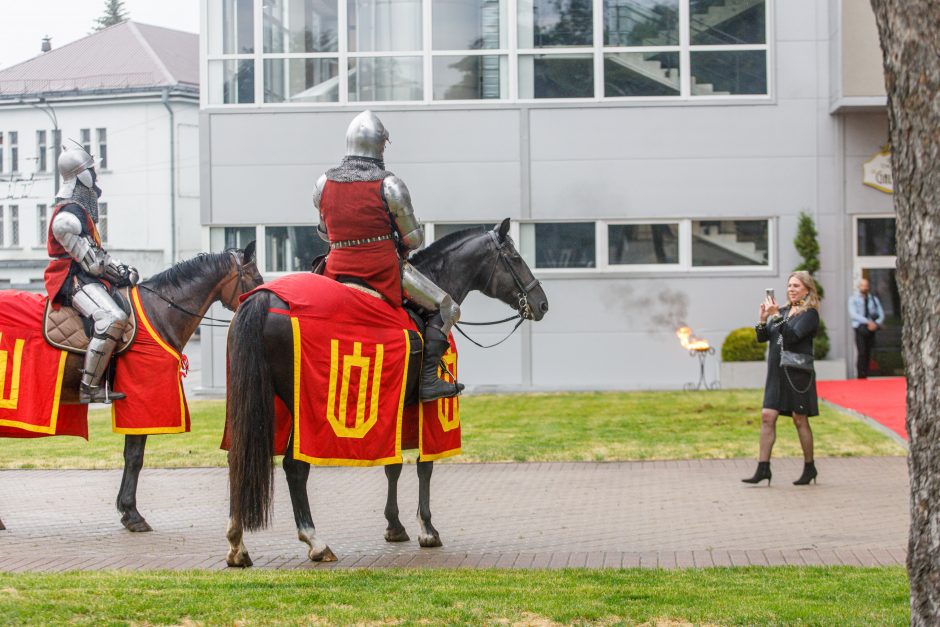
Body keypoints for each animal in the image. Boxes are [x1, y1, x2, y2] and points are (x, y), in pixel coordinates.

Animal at [0, 243, 262, 532]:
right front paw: (132, 514)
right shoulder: (140, 398)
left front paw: (127, 511)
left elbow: (131, 455)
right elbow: (135, 456)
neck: (160, 311)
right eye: (256, 277)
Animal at [224, 218, 548, 568]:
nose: (542, 303)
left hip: (253, 400)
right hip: (300, 406)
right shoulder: (426, 406)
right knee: (295, 467)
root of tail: (262, 299)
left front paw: (395, 526)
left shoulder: (397, 402)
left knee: (238, 458)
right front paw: (427, 529)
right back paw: (315, 542)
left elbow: (393, 465)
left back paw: (237, 545)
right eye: (514, 256)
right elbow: (424, 464)